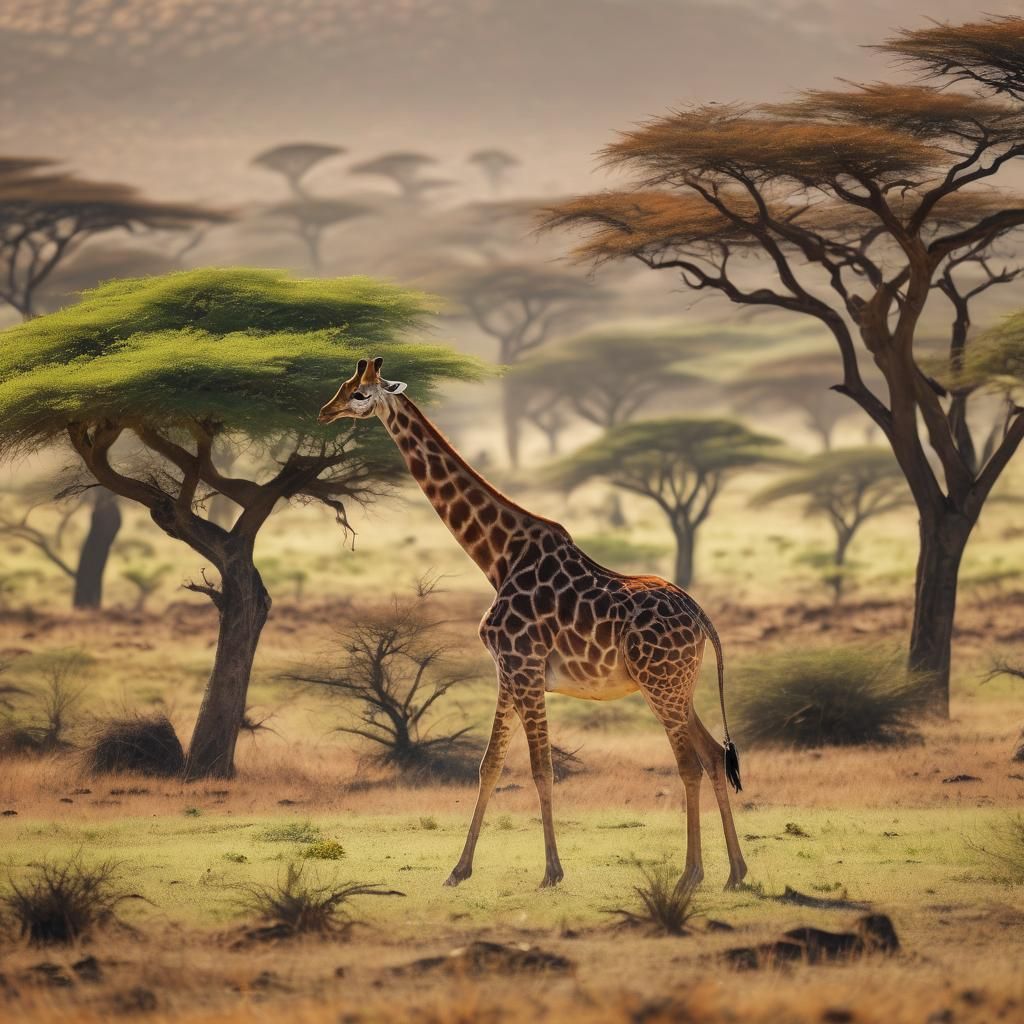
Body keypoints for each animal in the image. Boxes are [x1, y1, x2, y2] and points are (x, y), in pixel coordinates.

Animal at [318, 357, 747, 893]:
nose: (324, 412)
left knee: (688, 764)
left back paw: (691, 875)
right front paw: (458, 870)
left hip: (660, 684)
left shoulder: (524, 667)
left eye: (359, 394)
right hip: (677, 686)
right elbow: (490, 765)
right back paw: (735, 873)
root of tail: (700, 616)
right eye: (342, 385)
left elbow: (542, 769)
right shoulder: (508, 672)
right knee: (713, 756)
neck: (498, 556)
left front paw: (551, 872)